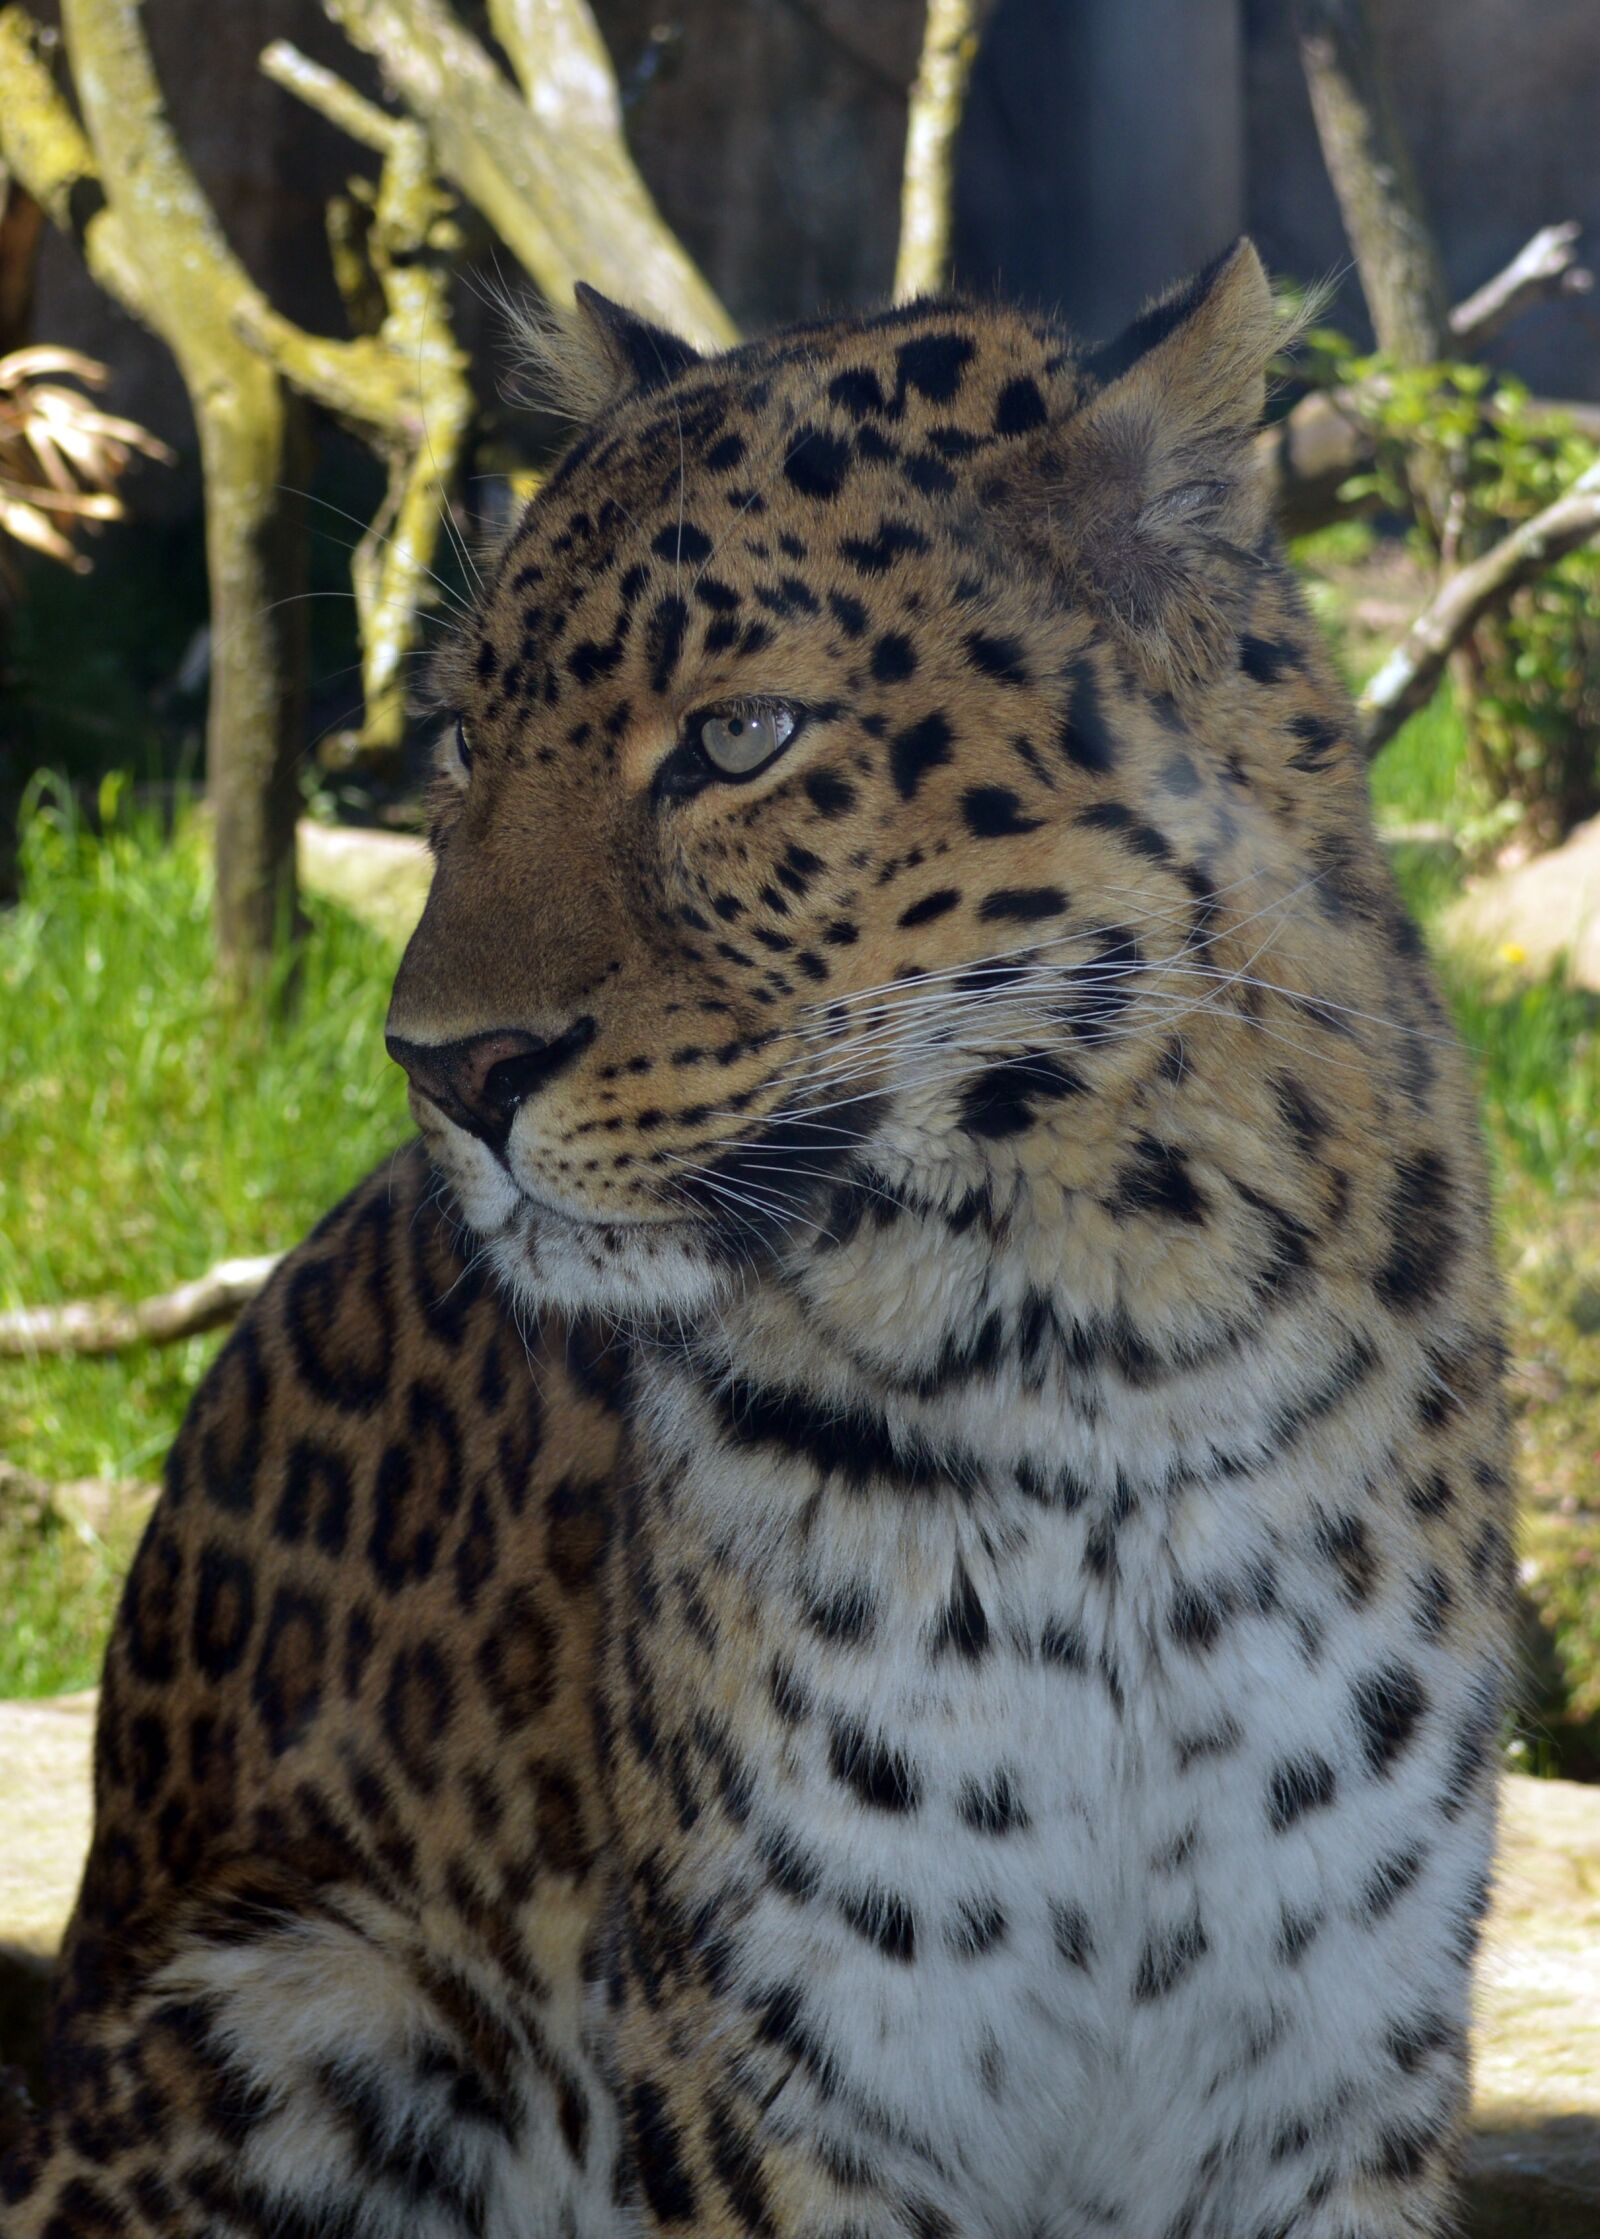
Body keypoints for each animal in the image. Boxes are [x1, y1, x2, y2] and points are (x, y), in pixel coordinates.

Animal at [2, 239, 1513, 2239]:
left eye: (740, 737)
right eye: (465, 738)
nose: (444, 1065)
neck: (1099, 1347)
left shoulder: (1335, 2064)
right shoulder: (787, 2069)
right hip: (321, 2005)